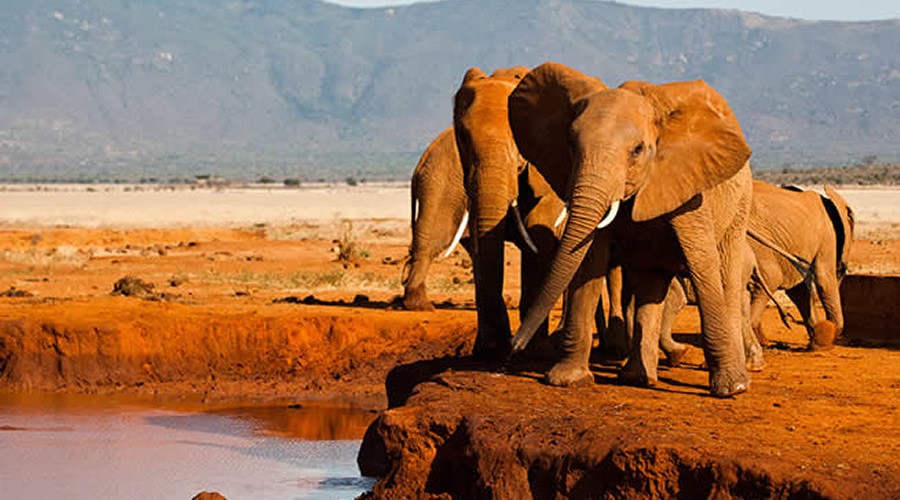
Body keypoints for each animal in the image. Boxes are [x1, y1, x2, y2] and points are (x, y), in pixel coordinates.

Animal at [453, 66, 566, 360]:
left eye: (518, 142)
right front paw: (486, 349)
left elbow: (539, 239)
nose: (506, 347)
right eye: (463, 138)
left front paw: (535, 352)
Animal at [507, 62, 754, 397]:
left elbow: (701, 263)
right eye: (571, 145)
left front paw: (730, 390)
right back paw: (637, 378)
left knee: (726, 277)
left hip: (739, 204)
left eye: (637, 150)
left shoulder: (690, 190)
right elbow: (589, 263)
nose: (512, 349)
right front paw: (567, 380)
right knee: (651, 285)